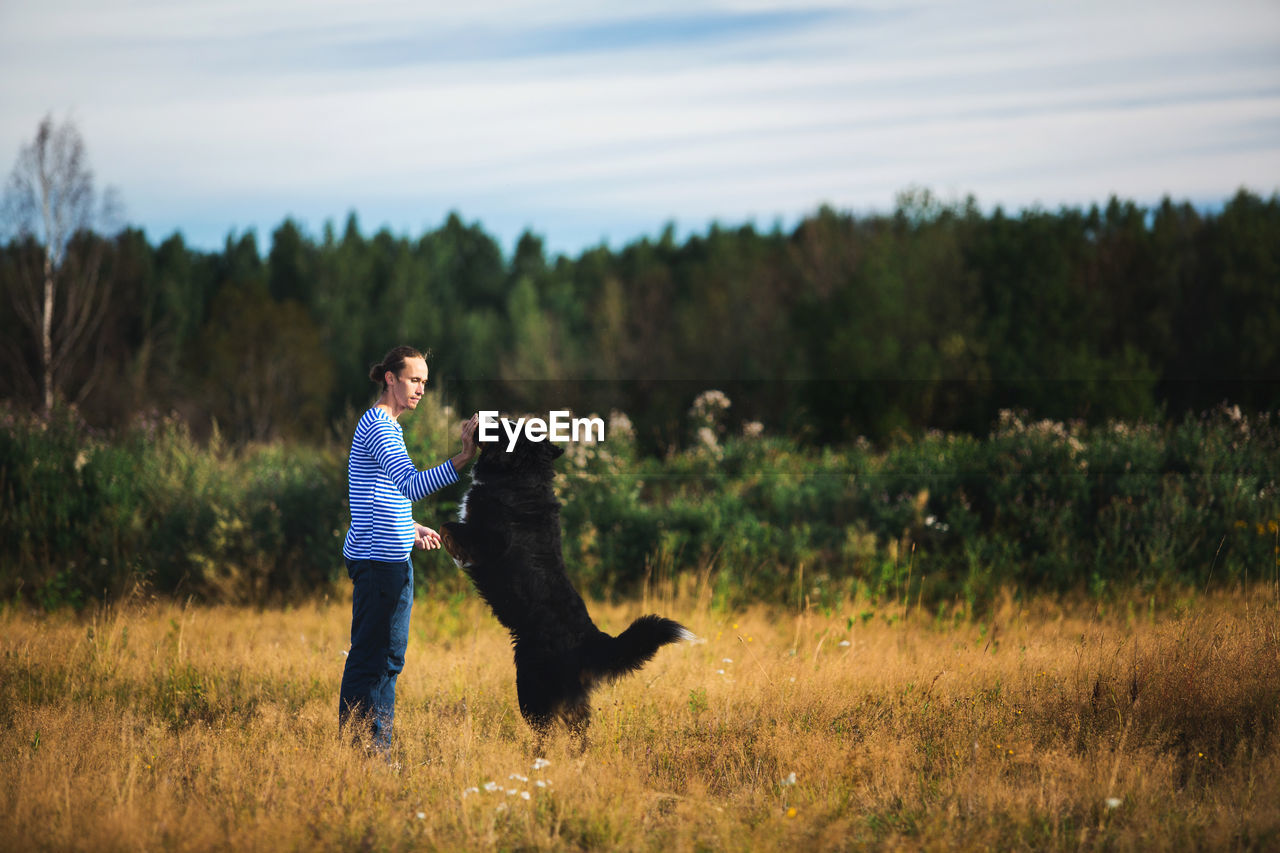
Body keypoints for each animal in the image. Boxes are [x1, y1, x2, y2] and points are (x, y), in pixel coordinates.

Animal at [442, 427, 701, 747]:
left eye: (503, 426)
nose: (476, 423)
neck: (521, 473)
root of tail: (592, 640)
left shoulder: (486, 540)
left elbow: (449, 526)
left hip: (530, 685)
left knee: (546, 730)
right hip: (570, 701)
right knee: (578, 734)